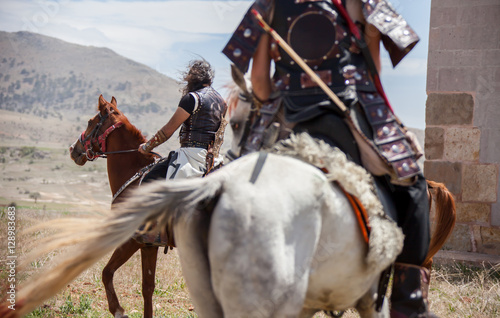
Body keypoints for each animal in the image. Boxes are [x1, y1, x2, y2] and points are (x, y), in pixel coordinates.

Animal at [69, 94, 163, 318]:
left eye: (90, 122)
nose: (73, 149)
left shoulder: (131, 239)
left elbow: (106, 272)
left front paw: (118, 309)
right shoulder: (149, 245)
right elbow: (147, 288)